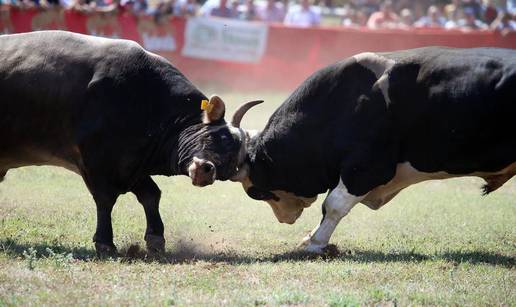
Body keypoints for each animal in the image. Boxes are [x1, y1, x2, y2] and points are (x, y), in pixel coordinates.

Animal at [0, 30, 260, 255]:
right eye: (219, 137)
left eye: (231, 167)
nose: (206, 170)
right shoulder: (96, 162)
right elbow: (106, 199)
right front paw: (105, 243)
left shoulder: (131, 165)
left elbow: (151, 195)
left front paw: (155, 239)